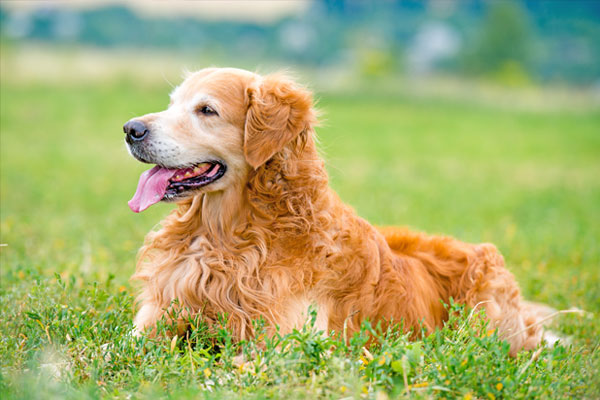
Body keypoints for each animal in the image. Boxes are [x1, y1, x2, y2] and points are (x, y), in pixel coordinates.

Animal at [125, 67, 548, 354]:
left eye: (206, 110)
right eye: (171, 104)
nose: (130, 129)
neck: (226, 237)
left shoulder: (280, 342)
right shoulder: (155, 319)